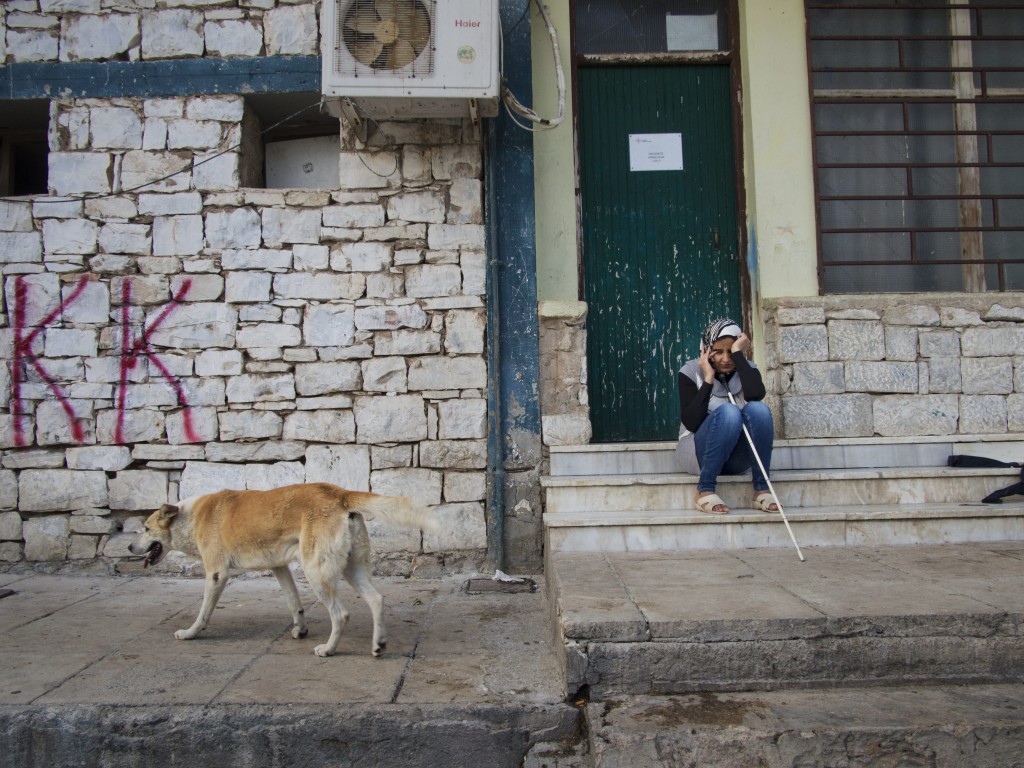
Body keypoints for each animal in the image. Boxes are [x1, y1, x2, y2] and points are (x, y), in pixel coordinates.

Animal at [126, 483, 432, 659]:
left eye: (146, 529)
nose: (129, 546)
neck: (189, 517)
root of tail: (339, 494)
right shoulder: (280, 567)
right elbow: (294, 603)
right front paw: (300, 629)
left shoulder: (215, 574)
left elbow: (203, 613)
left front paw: (191, 633)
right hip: (350, 568)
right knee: (377, 600)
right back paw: (378, 645)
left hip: (316, 571)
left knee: (341, 614)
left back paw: (329, 650)